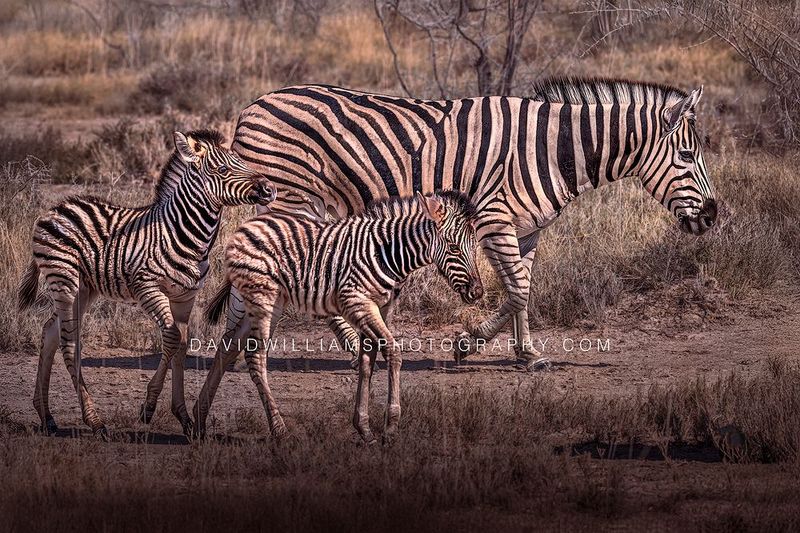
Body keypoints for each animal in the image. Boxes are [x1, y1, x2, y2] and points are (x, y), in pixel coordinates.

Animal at [17, 129, 276, 438]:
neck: (183, 234)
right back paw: (94, 421)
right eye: (223, 169)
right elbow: (171, 338)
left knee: (50, 333)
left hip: (84, 288)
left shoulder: (185, 296)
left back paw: (47, 417)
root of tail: (54, 209)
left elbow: (182, 345)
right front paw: (149, 407)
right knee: (68, 343)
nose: (269, 189)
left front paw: (184, 418)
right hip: (63, 278)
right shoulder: (148, 288)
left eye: (241, 161)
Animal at [195, 191, 483, 442]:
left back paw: (196, 421)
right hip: (262, 297)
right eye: (454, 248)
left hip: (266, 303)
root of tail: (244, 227)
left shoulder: (379, 308)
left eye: (474, 246)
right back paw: (279, 430)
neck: (388, 253)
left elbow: (367, 362)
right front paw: (390, 427)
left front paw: (364, 428)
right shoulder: (356, 301)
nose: (478, 292)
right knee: (255, 356)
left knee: (228, 346)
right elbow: (393, 353)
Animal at [225, 77, 717, 370]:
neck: (555, 150)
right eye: (687, 155)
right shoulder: (494, 216)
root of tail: (250, 107)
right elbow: (516, 289)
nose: (713, 216)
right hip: (295, 197)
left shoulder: (527, 227)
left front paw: (525, 353)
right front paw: (471, 344)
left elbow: (522, 287)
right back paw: (348, 344)